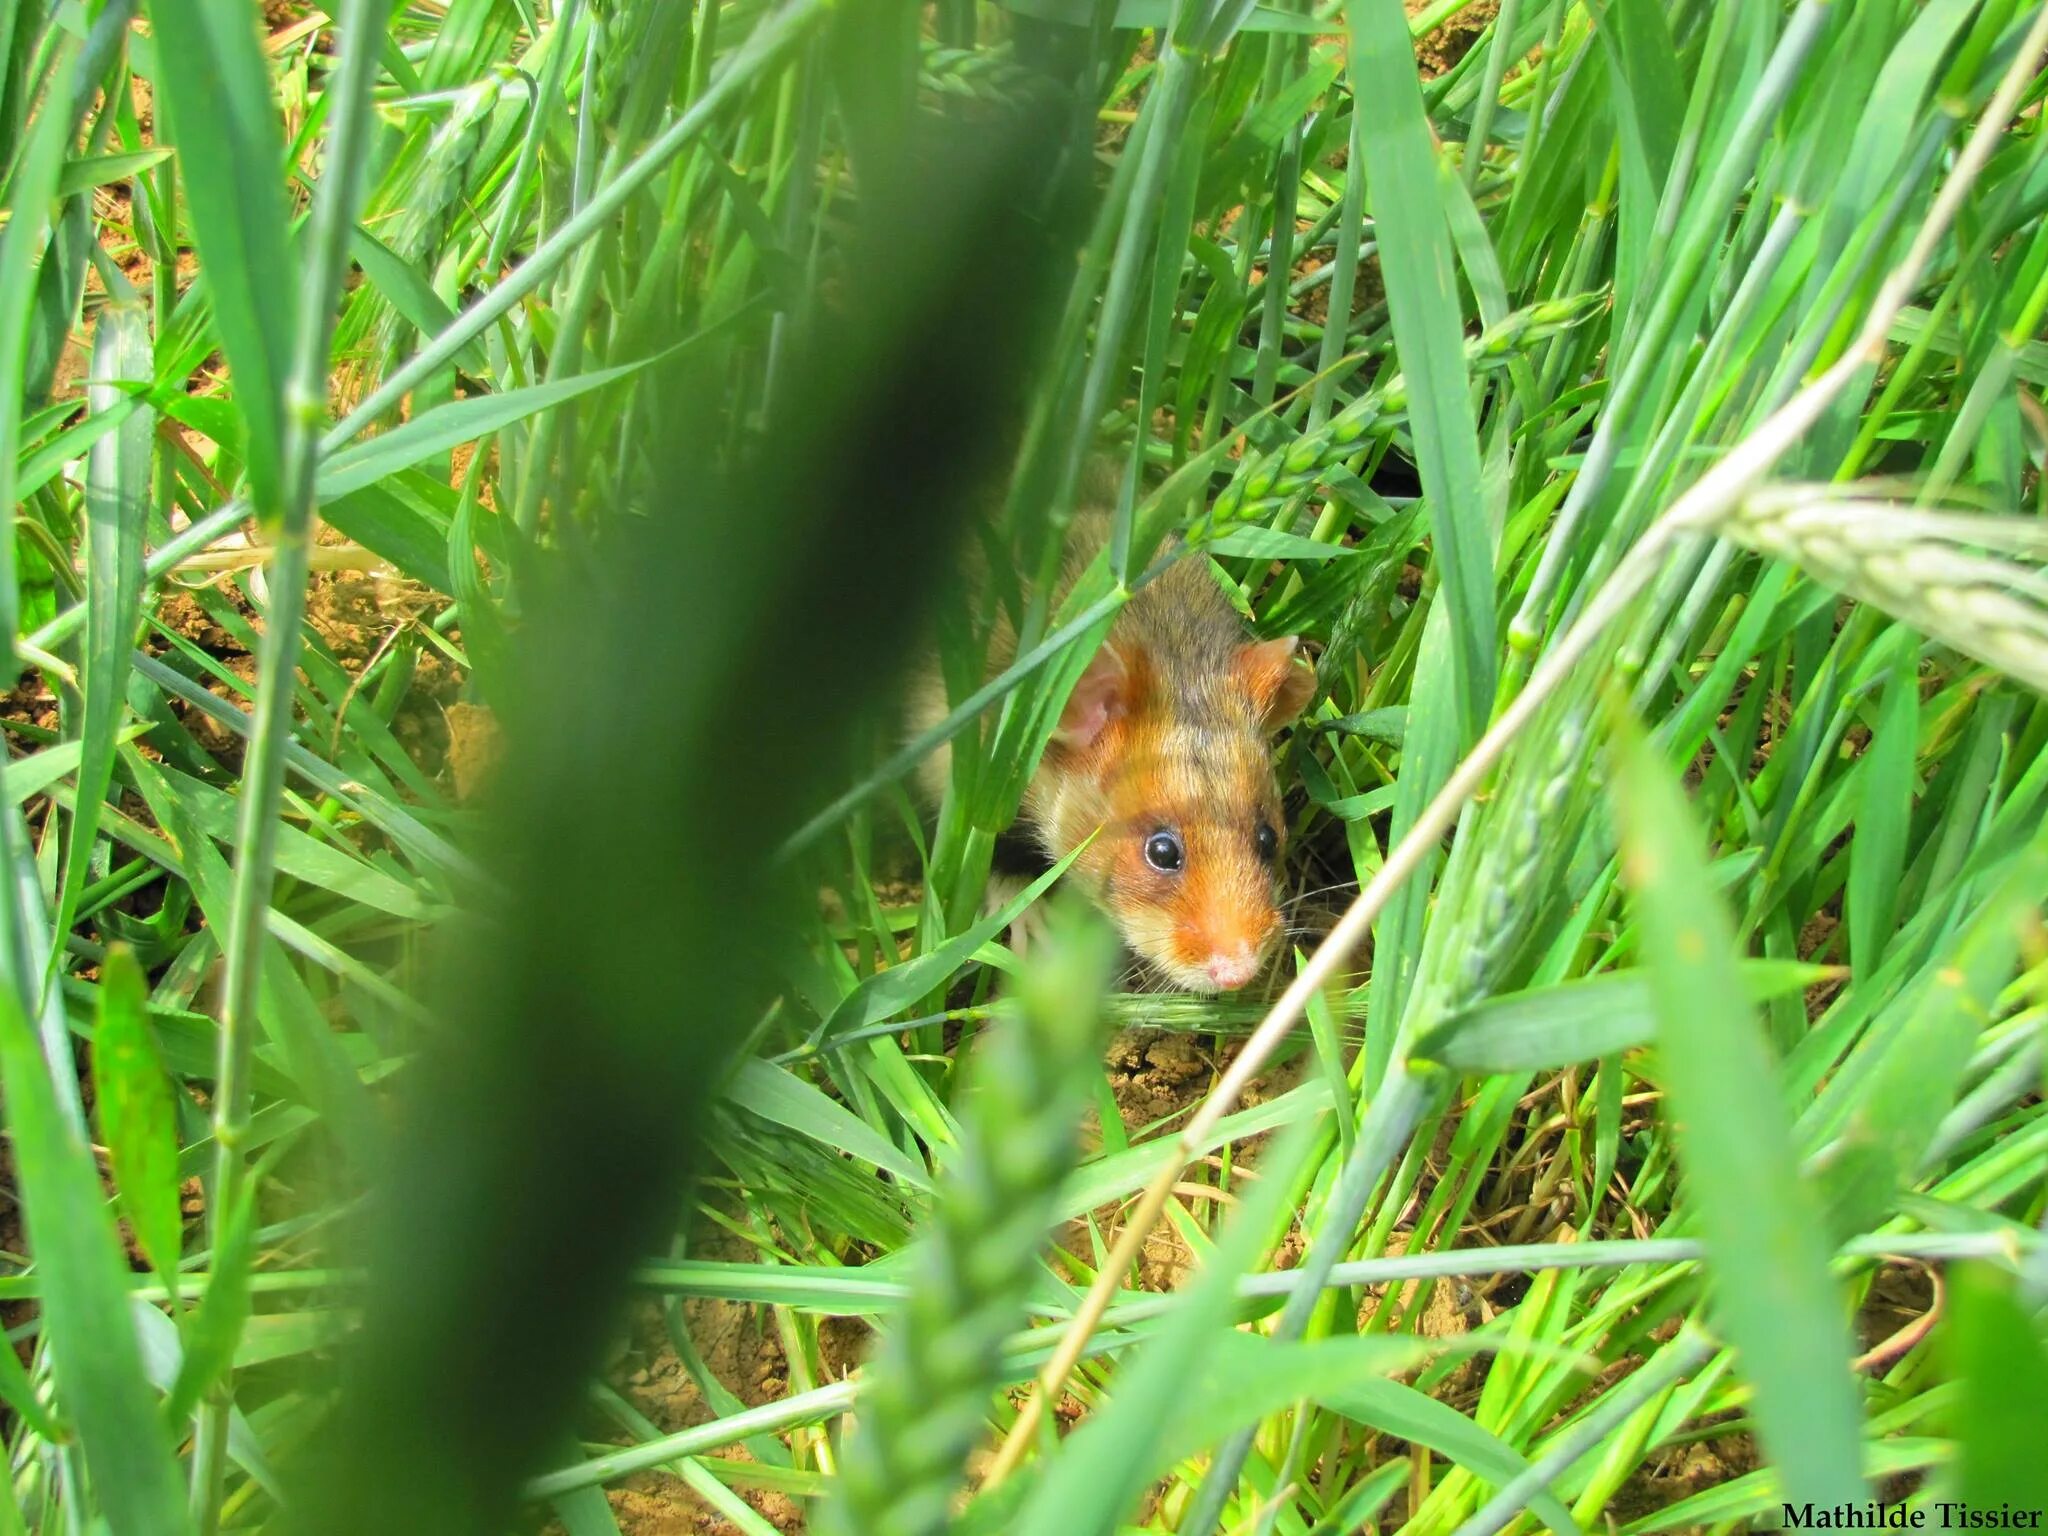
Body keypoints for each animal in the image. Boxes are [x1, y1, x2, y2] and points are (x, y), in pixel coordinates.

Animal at [913, 499, 1310, 991]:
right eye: (1162, 852)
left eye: (1268, 838)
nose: (1241, 975)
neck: (1169, 644)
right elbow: (990, 859)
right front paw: (1039, 936)